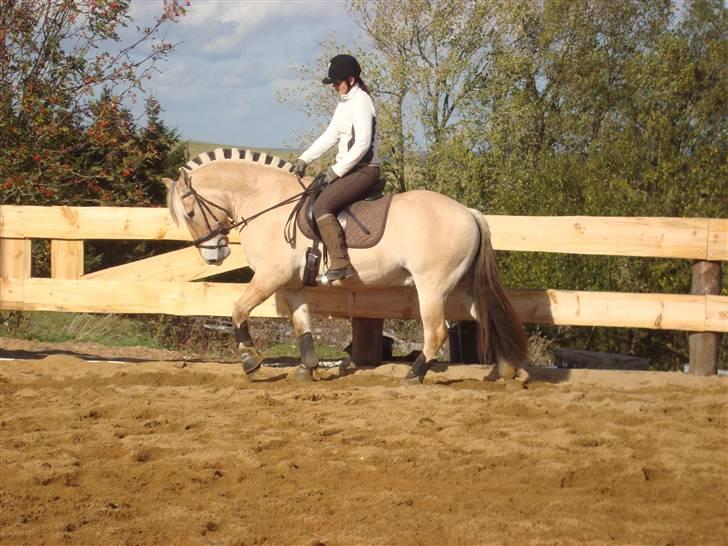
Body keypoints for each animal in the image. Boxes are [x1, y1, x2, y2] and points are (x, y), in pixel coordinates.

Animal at [164, 147, 528, 380]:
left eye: (191, 213)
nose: (213, 255)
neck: (268, 204)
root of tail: (468, 212)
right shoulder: (291, 284)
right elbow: (302, 324)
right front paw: (307, 367)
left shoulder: (270, 277)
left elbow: (238, 311)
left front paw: (250, 362)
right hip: (461, 283)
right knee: (487, 313)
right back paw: (509, 368)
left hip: (432, 286)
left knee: (436, 331)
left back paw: (414, 375)